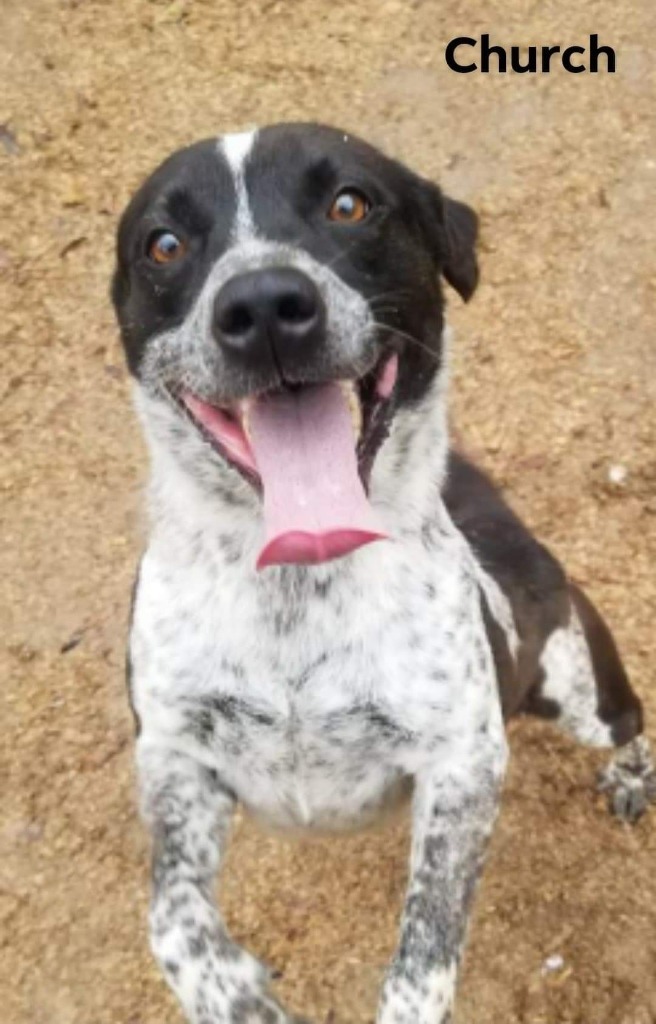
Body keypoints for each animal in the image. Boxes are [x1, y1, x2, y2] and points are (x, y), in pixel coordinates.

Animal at [112, 121, 654, 1024]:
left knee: (632, 720)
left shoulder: (462, 765)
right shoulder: (178, 757)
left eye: (349, 203)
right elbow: (173, 920)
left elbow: (423, 950)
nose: (262, 306)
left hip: (577, 688)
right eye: (164, 244)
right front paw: (236, 994)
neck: (298, 594)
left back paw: (630, 775)